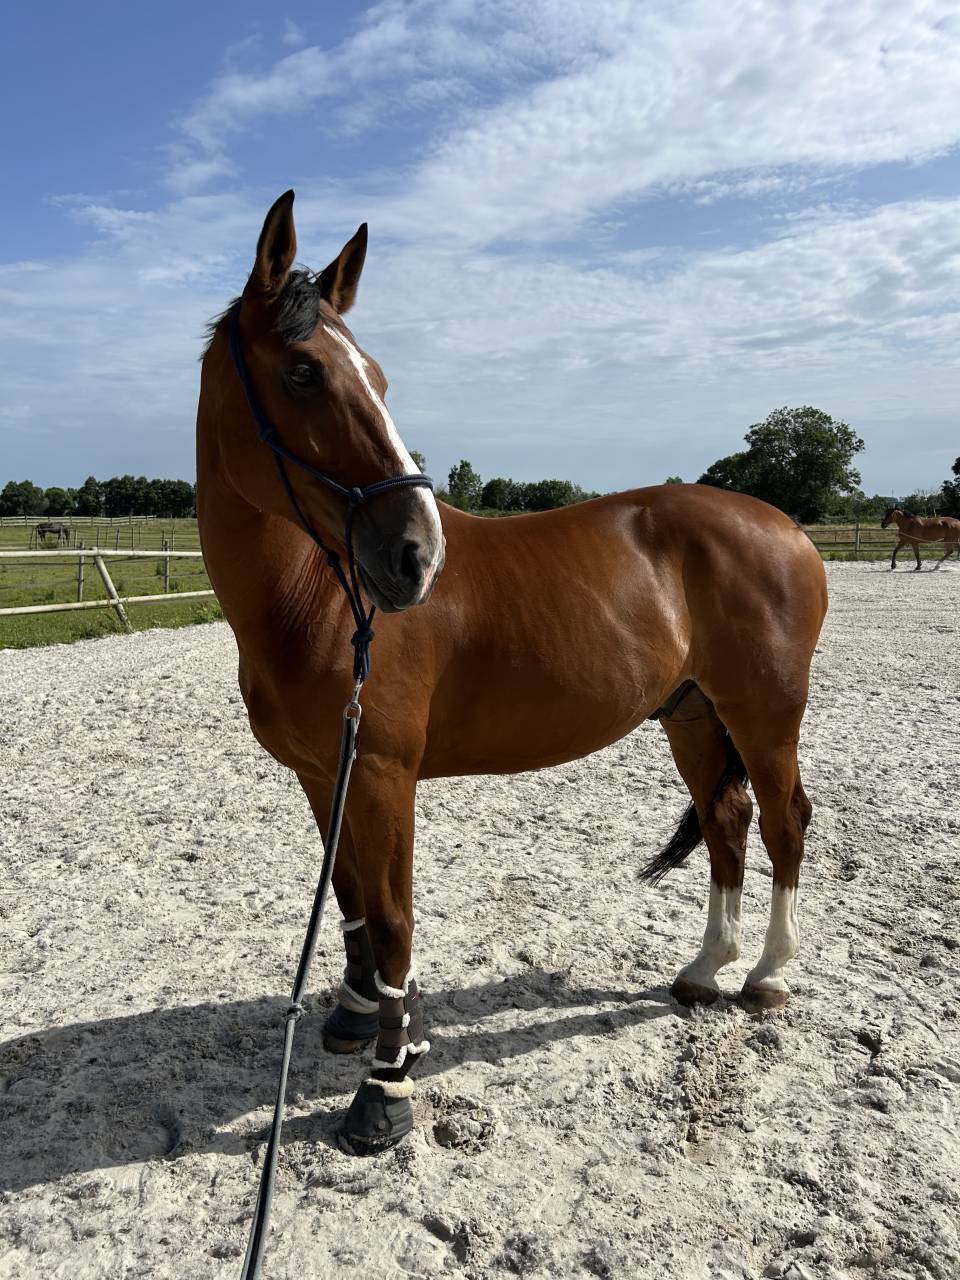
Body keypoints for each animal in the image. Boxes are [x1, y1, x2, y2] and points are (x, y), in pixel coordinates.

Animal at [196, 191, 829, 1155]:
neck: (320, 598)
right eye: (303, 373)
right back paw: (703, 970)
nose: (416, 555)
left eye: (376, 377)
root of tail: (788, 526)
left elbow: (394, 918)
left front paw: (386, 1085)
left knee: (786, 824)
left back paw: (766, 977)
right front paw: (353, 1015)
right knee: (729, 822)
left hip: (764, 716)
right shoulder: (321, 773)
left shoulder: (381, 774)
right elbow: (349, 895)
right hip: (692, 716)